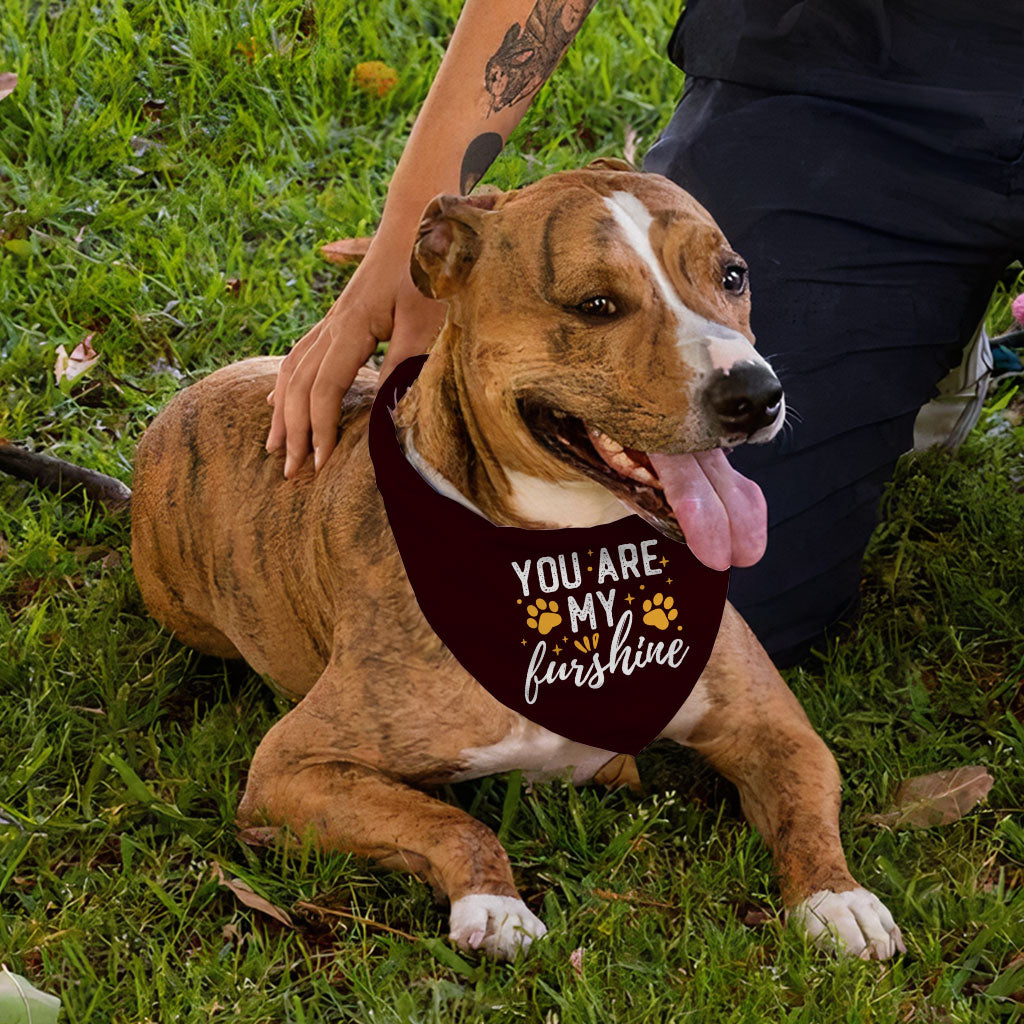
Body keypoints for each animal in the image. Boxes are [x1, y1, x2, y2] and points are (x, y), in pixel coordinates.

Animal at [77, 159, 905, 958]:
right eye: (595, 305)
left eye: (732, 275)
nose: (756, 395)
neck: (572, 558)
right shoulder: (292, 767)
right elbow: (450, 821)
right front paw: (495, 904)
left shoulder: (775, 728)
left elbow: (805, 806)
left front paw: (838, 897)